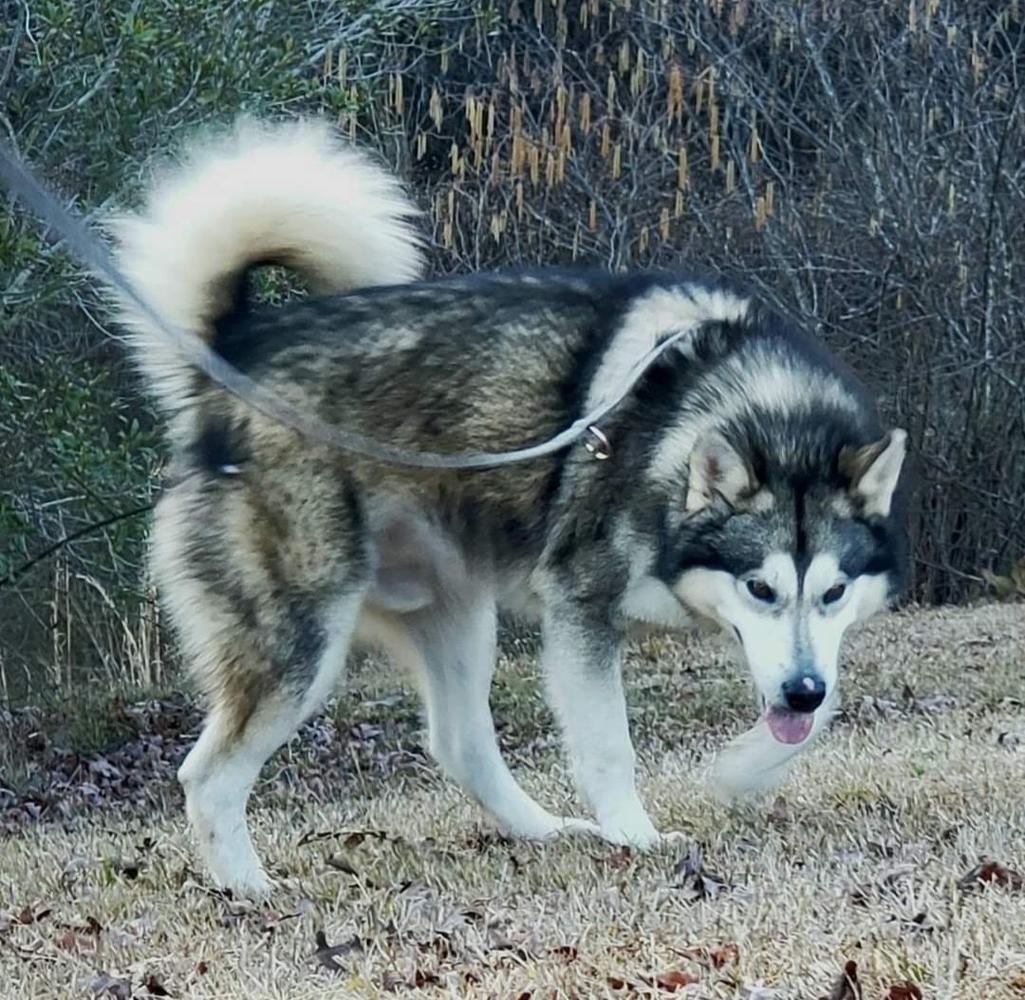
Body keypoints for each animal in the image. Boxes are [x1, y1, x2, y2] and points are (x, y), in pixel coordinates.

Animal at [108, 120, 910, 893]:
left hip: (455, 614)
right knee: (208, 775)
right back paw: (249, 888)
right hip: (301, 641)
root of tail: (235, 351)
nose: (799, 692)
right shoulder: (580, 609)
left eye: (834, 592)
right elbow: (609, 746)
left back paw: (544, 831)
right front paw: (638, 838)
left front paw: (743, 771)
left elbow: (822, 709)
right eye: (759, 588)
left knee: (460, 744)